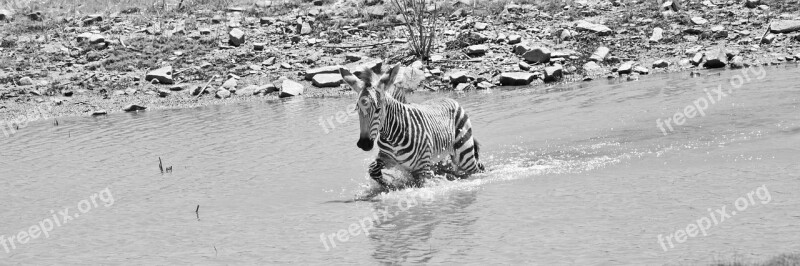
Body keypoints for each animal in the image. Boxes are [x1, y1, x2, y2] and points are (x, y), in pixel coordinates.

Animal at [340, 62, 484, 189]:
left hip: (464, 153)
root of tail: (449, 98)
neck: (393, 137)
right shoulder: (388, 158)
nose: (364, 144)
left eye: (378, 109)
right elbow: (373, 169)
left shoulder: (422, 168)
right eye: (357, 109)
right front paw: (388, 184)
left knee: (477, 168)